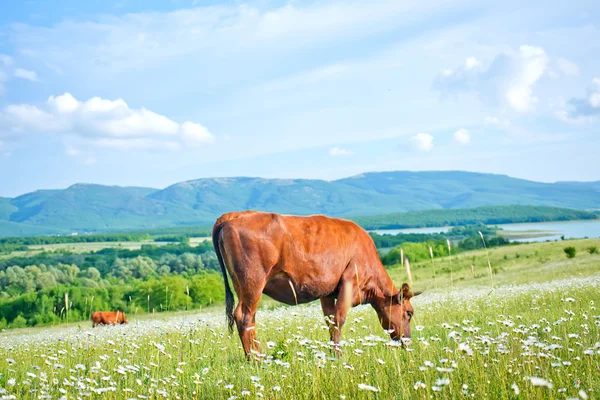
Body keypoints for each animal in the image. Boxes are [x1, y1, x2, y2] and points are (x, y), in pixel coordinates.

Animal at [213, 211, 424, 358]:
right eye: (409, 313)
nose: (408, 342)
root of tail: (233, 216)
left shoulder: (327, 292)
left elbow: (330, 321)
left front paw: (332, 353)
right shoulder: (349, 283)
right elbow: (339, 320)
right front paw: (339, 356)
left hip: (243, 287)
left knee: (251, 320)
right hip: (253, 283)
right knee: (244, 317)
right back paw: (256, 360)